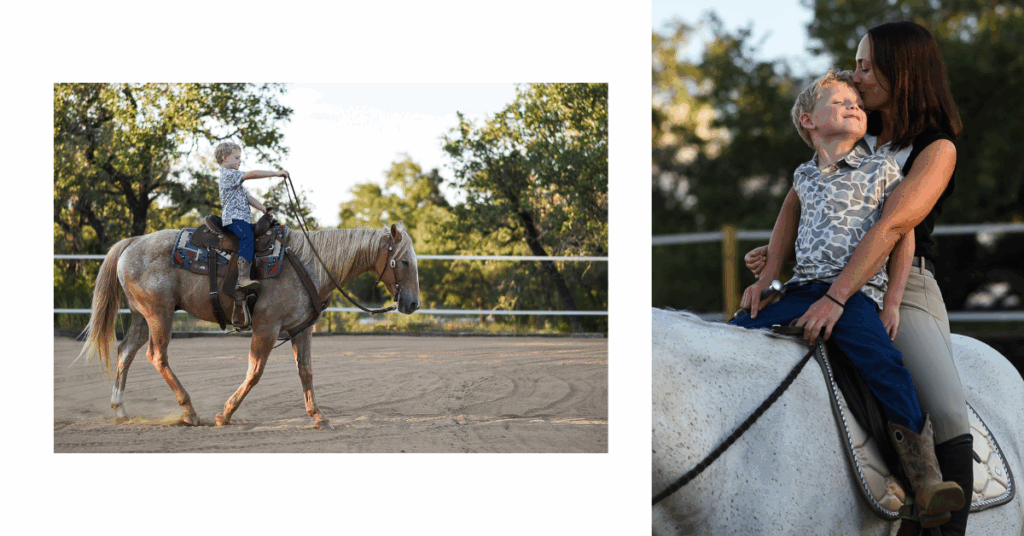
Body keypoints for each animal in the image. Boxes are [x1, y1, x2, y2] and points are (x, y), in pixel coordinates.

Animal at [77, 222, 420, 429]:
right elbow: (255, 371)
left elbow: (306, 372)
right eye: (404, 261)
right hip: (159, 314)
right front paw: (225, 413)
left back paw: (121, 410)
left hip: (141, 316)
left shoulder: (301, 329)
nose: (413, 304)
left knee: (126, 352)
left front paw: (319, 416)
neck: (309, 265)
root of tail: (133, 242)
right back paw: (189, 411)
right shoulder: (266, 327)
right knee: (156, 356)